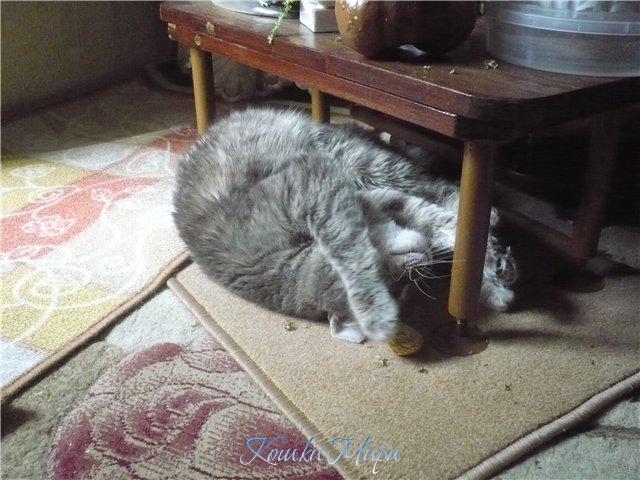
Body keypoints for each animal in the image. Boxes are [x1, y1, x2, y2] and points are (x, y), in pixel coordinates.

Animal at [173, 107, 517, 343]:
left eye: (387, 277)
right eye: (401, 288)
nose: (424, 262)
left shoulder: (316, 186)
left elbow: (435, 222)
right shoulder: (374, 198)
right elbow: (432, 226)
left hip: (363, 161)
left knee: (442, 188)